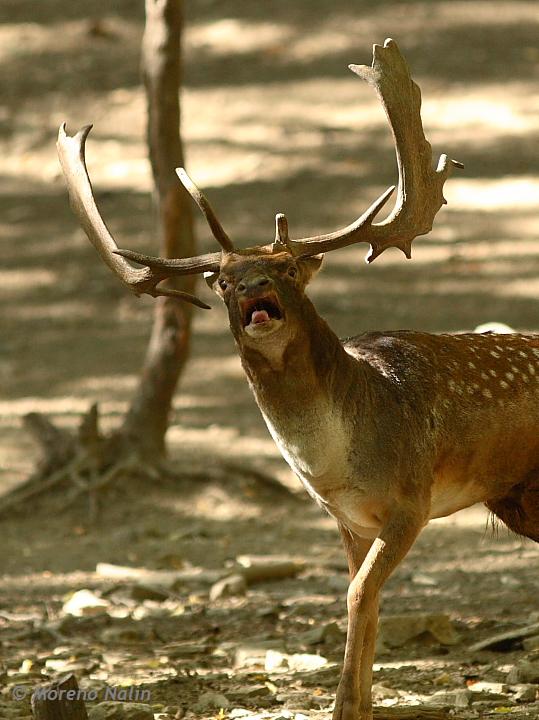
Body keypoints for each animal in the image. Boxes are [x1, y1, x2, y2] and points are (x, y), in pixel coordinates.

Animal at [57, 38, 536, 720]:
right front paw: (351, 705)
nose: (254, 286)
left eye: (286, 268)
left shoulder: (411, 499)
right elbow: (364, 598)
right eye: (223, 279)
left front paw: (346, 704)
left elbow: (358, 595)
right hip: (517, 498)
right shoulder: (347, 517)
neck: (337, 460)